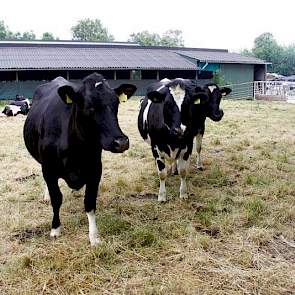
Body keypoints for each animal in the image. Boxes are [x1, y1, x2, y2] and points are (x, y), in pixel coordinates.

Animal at [23, 73, 137, 246]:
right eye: (89, 107)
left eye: (116, 104)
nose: (121, 142)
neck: (76, 149)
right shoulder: (49, 170)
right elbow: (56, 198)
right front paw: (55, 229)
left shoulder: (95, 170)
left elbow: (89, 203)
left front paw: (94, 237)